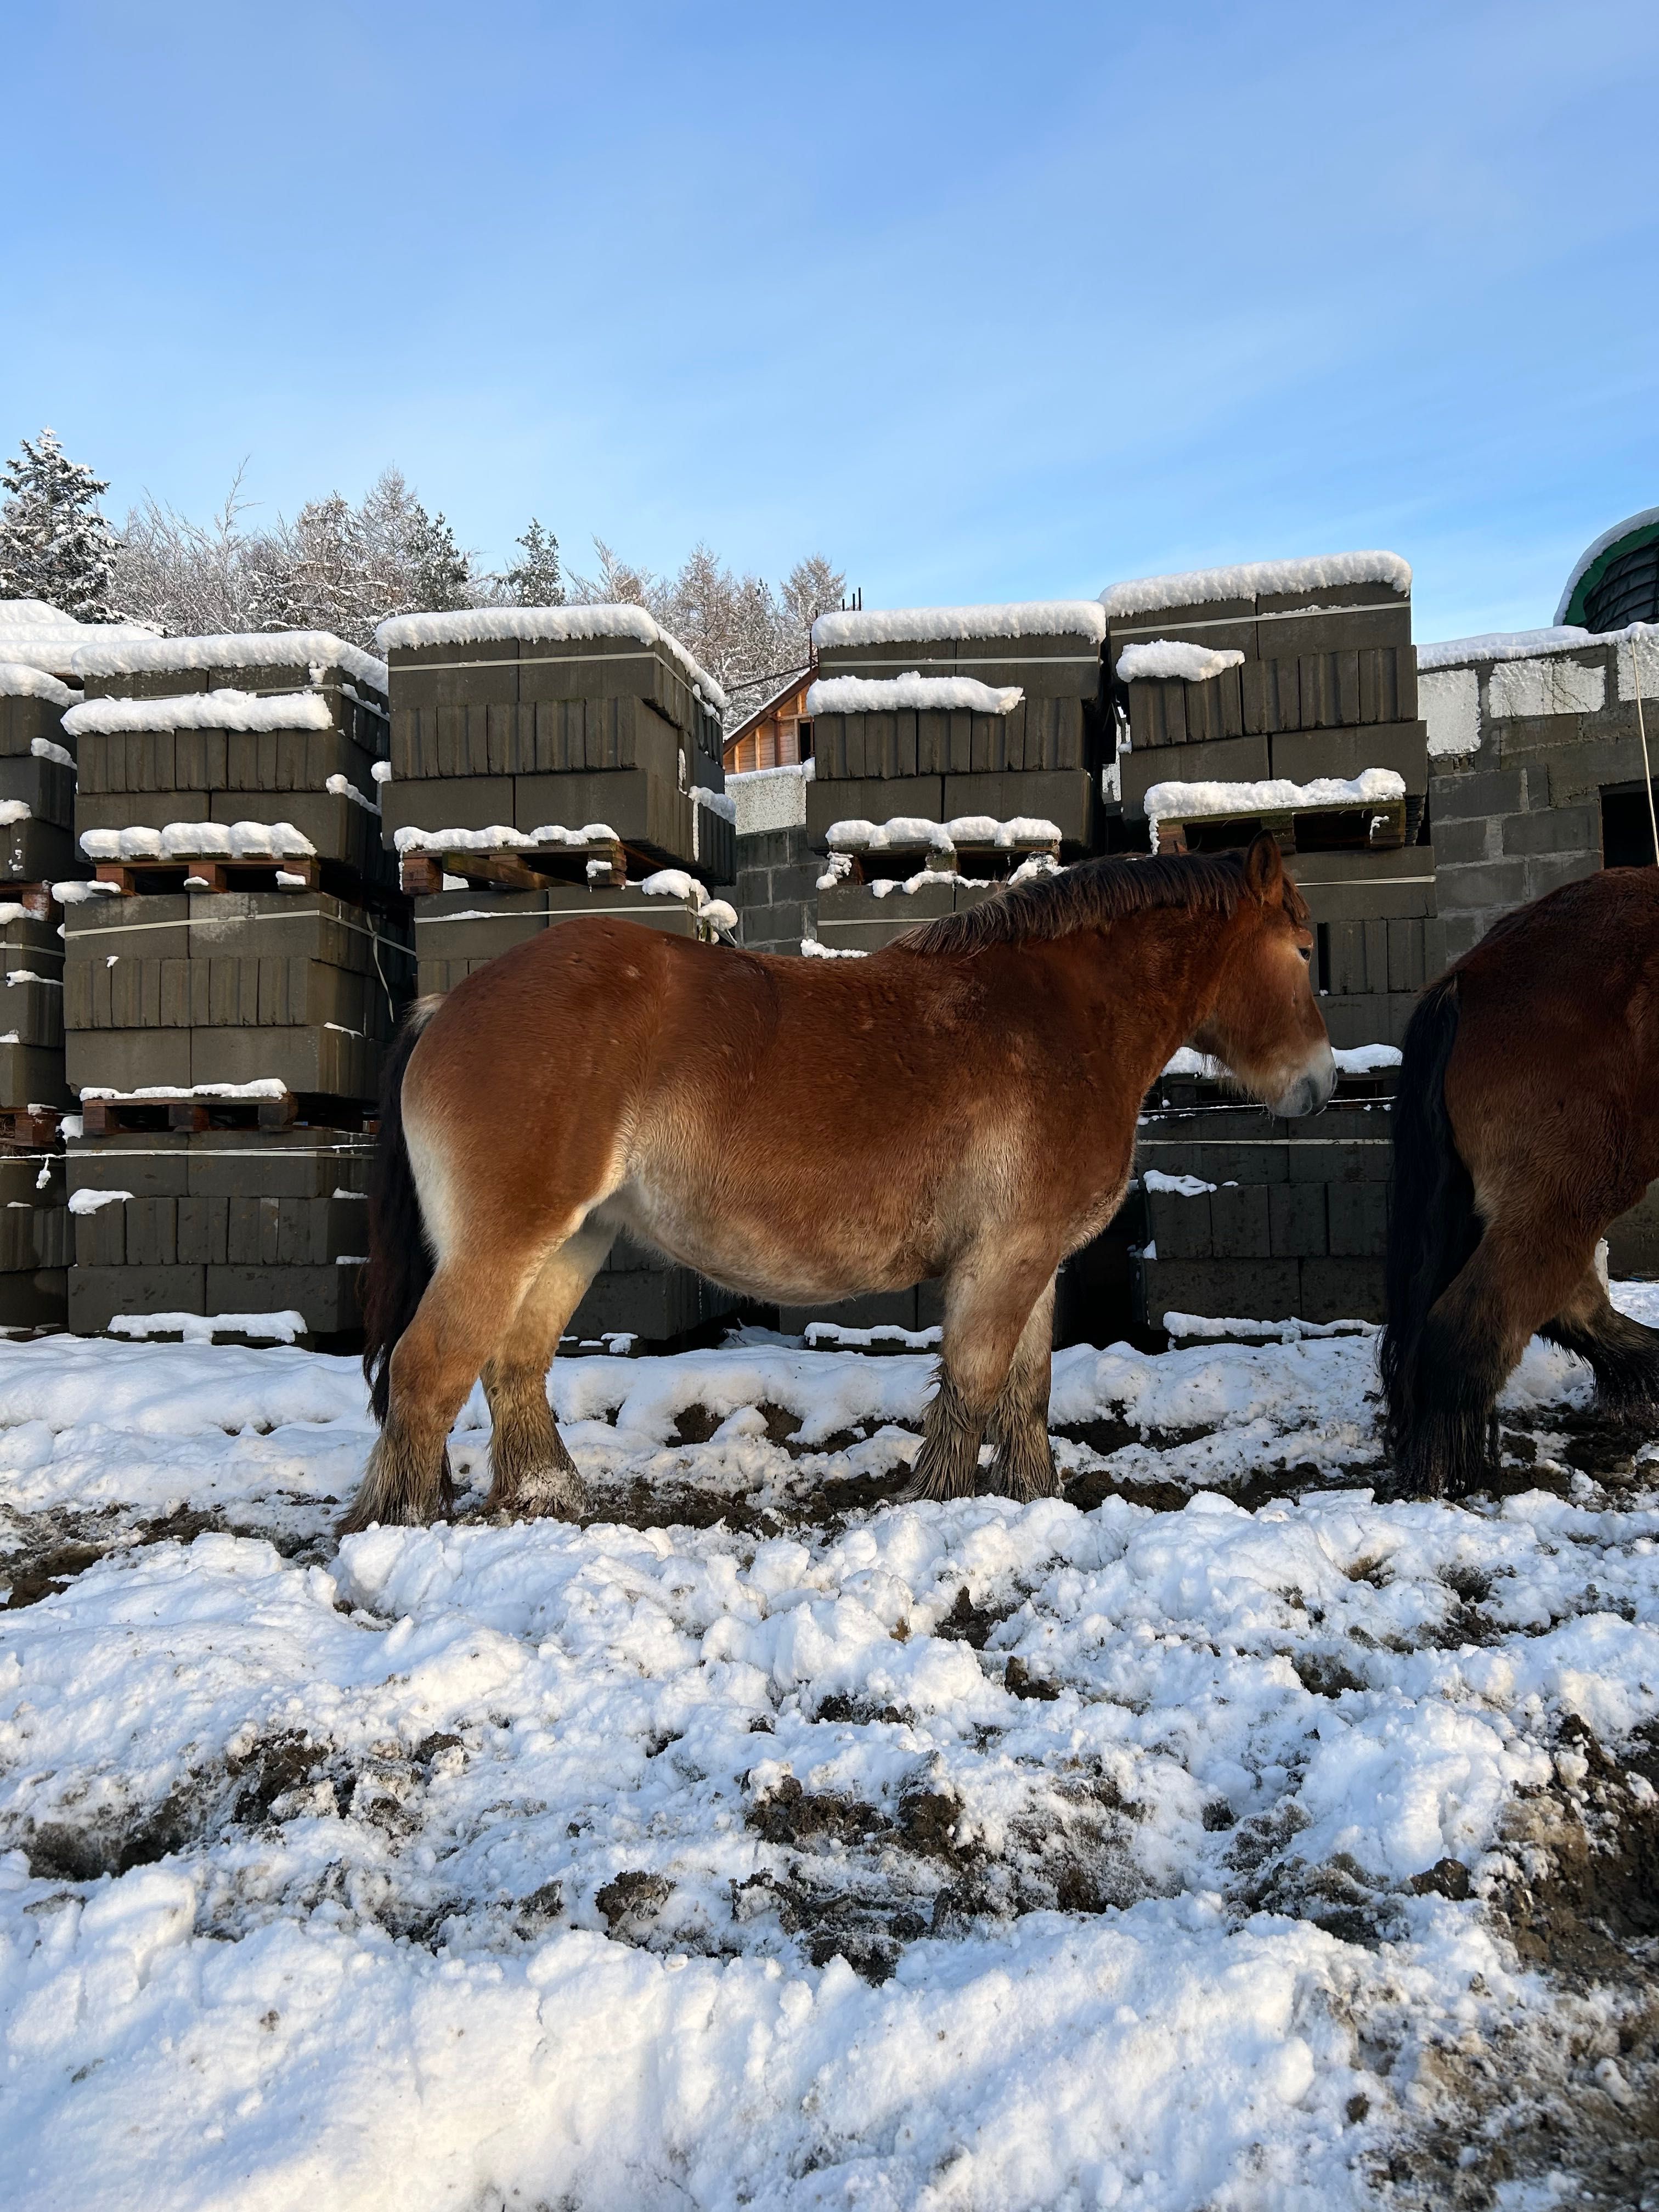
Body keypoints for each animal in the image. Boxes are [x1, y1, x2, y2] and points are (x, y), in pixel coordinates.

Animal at [347, 836, 1336, 1531]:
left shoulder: (1030, 1258)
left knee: (512, 1365)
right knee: (429, 1369)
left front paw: (1032, 1499)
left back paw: (548, 1500)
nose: (1320, 1083)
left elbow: (1025, 1391)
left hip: (574, 1240)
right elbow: (975, 1381)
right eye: (1298, 950)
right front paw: (933, 1506)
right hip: (505, 1241)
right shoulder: (1006, 1257)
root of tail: (449, 1005)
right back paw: (400, 1528)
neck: (1060, 1020)